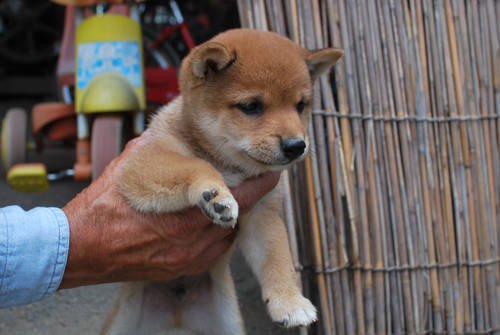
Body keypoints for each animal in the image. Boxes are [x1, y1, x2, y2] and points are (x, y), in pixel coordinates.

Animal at [101, 29, 344, 335]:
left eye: (300, 106)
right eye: (251, 106)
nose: (296, 146)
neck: (230, 167)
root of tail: (176, 316)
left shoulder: (263, 213)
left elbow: (278, 257)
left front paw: (289, 302)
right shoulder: (143, 163)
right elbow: (195, 165)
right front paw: (215, 194)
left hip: (228, 323)